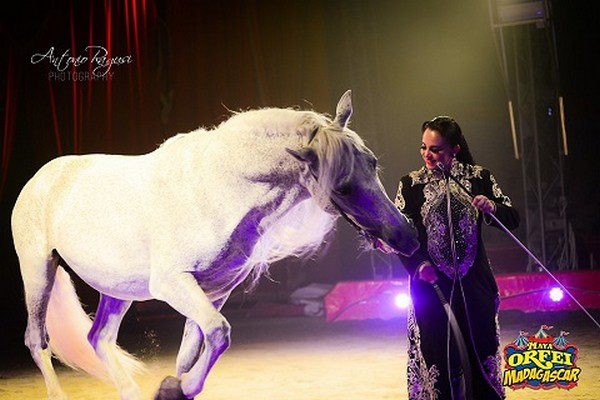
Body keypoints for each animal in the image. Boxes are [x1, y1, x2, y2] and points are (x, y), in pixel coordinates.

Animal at [12, 91, 418, 400]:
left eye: (372, 162)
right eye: (342, 186)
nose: (406, 237)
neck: (218, 189)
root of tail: (42, 176)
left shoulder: (215, 291)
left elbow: (193, 351)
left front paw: (172, 387)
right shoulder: (174, 284)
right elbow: (219, 333)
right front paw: (178, 388)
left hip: (118, 288)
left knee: (99, 338)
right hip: (38, 270)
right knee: (37, 339)